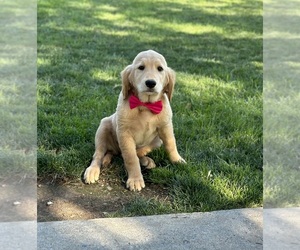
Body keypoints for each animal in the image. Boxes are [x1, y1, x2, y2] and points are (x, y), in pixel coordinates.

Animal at [84, 49, 185, 191]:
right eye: (141, 67)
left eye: (160, 69)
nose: (150, 83)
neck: (146, 105)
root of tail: (115, 151)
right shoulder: (125, 133)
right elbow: (131, 158)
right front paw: (135, 179)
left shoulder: (166, 127)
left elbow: (171, 144)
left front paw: (177, 160)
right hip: (103, 127)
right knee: (98, 155)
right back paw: (92, 170)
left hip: (157, 141)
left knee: (139, 152)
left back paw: (147, 161)